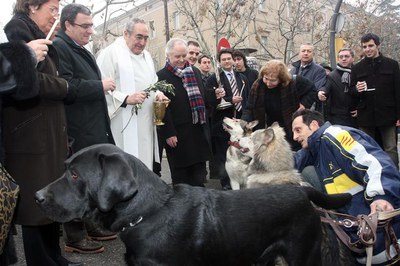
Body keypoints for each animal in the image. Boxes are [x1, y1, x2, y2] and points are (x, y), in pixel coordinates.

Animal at [36, 144, 350, 264]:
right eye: (67, 169)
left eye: (75, 175)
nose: (37, 196)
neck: (148, 213)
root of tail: (302, 193)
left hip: (304, 256)